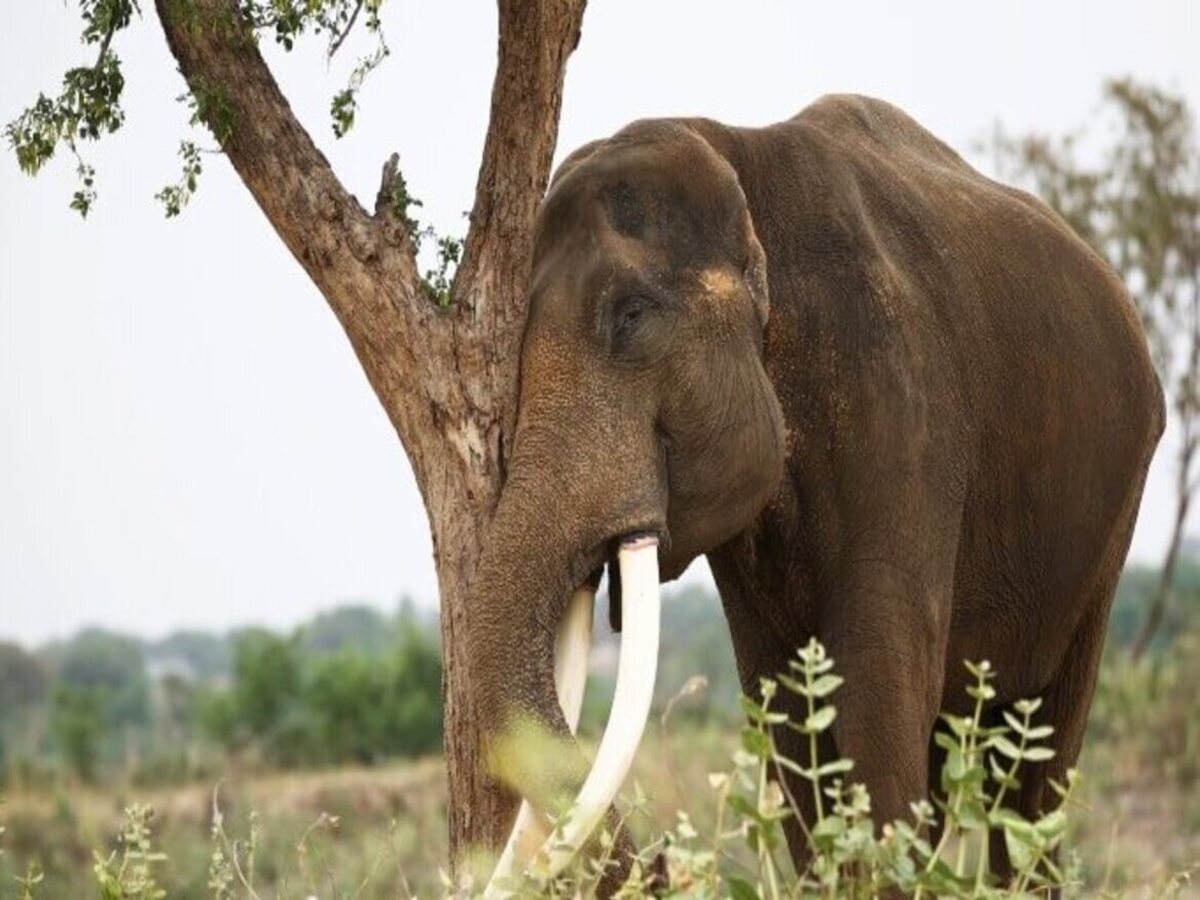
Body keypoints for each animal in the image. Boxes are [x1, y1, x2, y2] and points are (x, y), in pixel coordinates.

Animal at [467, 93, 1164, 888]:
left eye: (632, 316)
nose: (660, 862)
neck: (736, 157)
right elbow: (790, 710)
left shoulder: (899, 402)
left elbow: (873, 686)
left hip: (1113, 512)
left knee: (1037, 763)